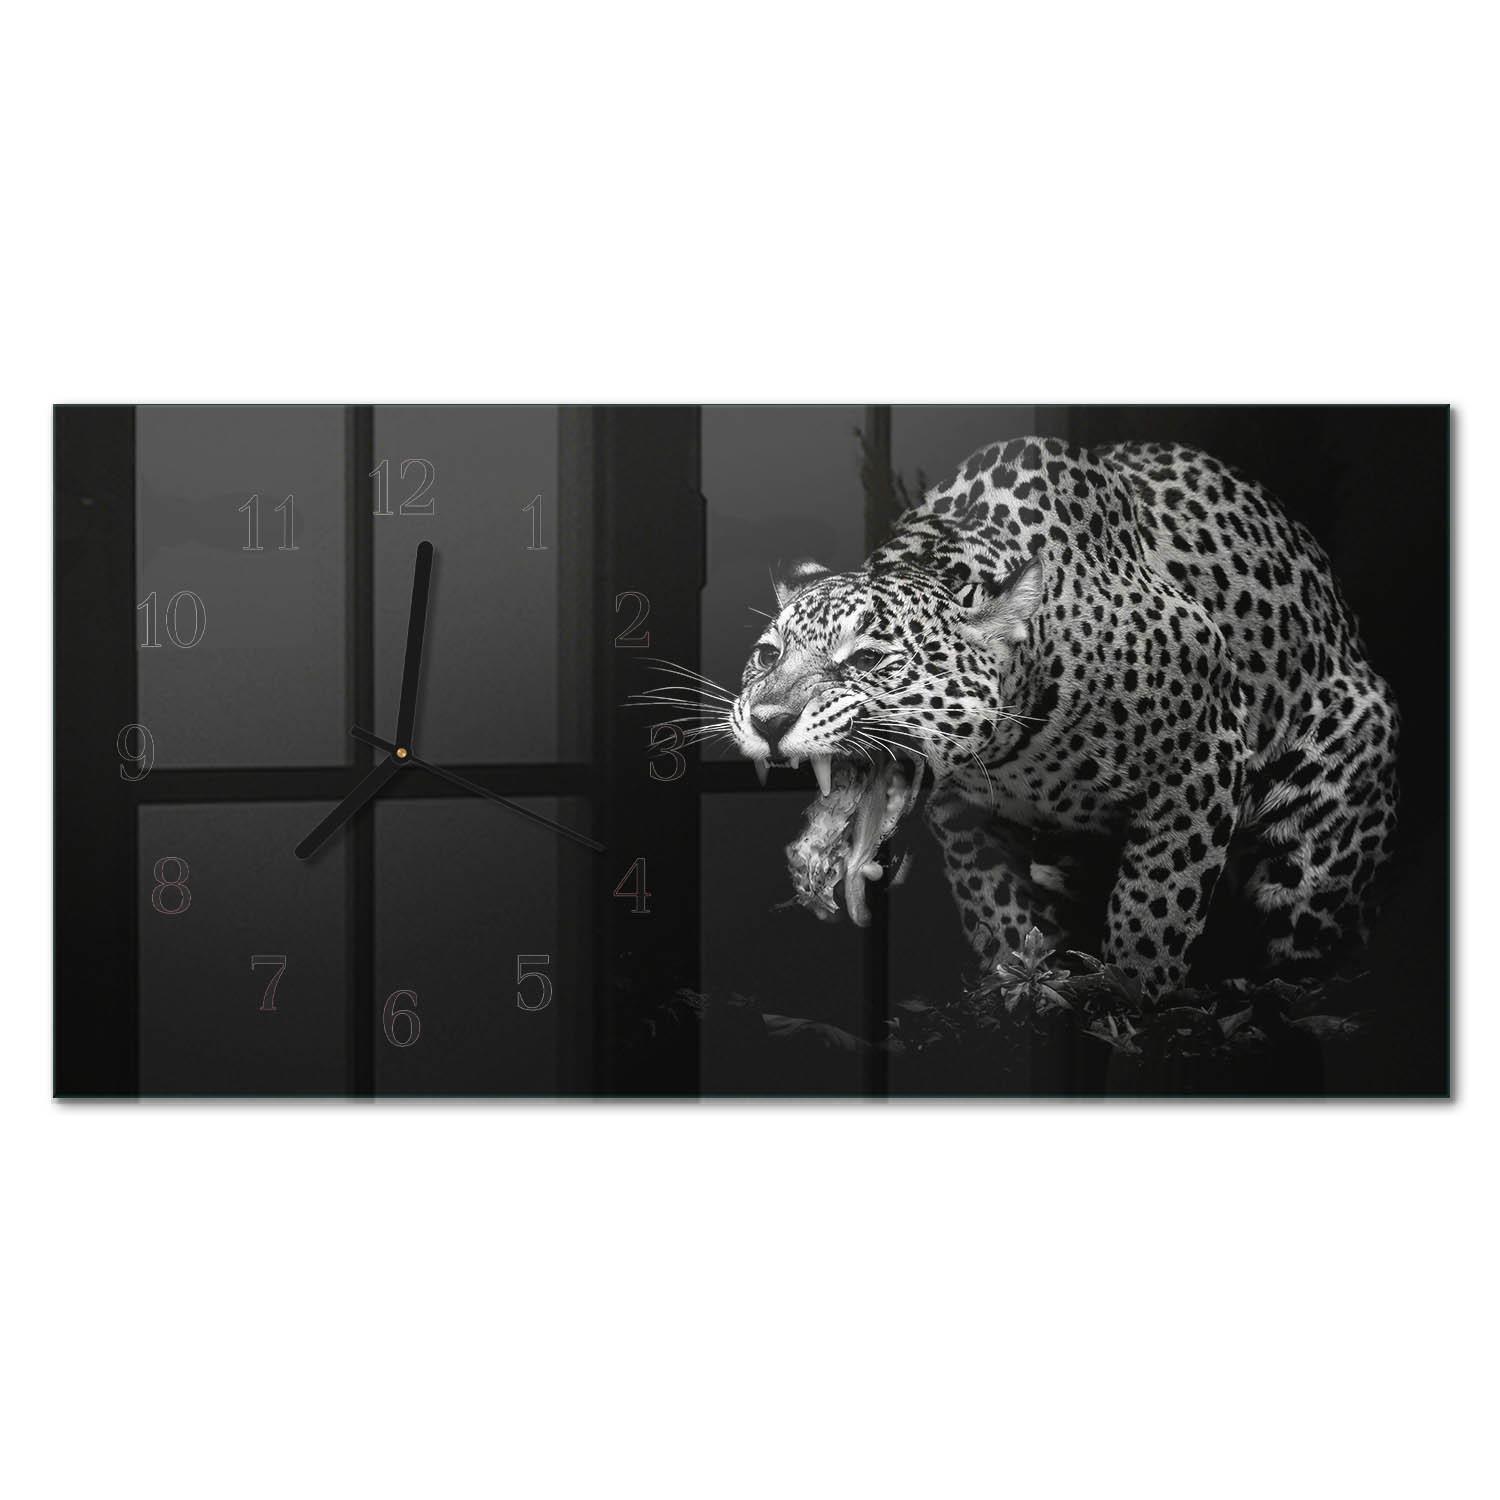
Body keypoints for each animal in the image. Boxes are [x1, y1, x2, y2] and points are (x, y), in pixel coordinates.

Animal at [729, 436, 1400, 998]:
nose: (767, 719)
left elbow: (1156, 908)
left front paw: (1132, 998)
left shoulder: (1201, 764)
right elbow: (995, 910)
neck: (1011, 749)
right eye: (767, 655)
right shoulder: (963, 815)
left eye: (868, 659)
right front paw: (1021, 988)